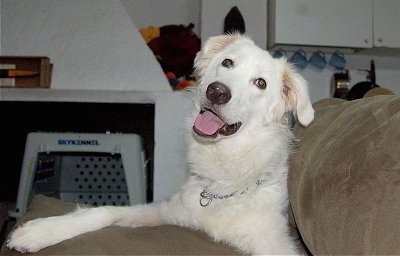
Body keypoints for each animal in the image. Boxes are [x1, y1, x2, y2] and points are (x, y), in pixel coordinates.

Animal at [5, 33, 312, 254]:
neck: (222, 185)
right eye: (227, 63)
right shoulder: (165, 212)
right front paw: (41, 231)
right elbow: (104, 211)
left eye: (260, 83)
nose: (217, 91)